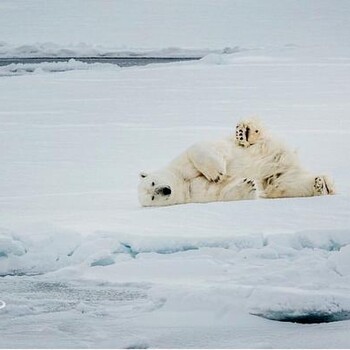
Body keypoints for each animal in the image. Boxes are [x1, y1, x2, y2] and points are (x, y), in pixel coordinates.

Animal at [138, 119, 334, 206]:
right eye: (152, 196)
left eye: (153, 182)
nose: (166, 190)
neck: (182, 183)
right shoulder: (196, 195)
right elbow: (222, 192)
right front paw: (248, 185)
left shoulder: (181, 165)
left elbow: (196, 149)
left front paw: (216, 173)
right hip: (278, 176)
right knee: (287, 184)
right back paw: (320, 185)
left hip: (265, 148)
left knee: (253, 139)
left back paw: (245, 133)